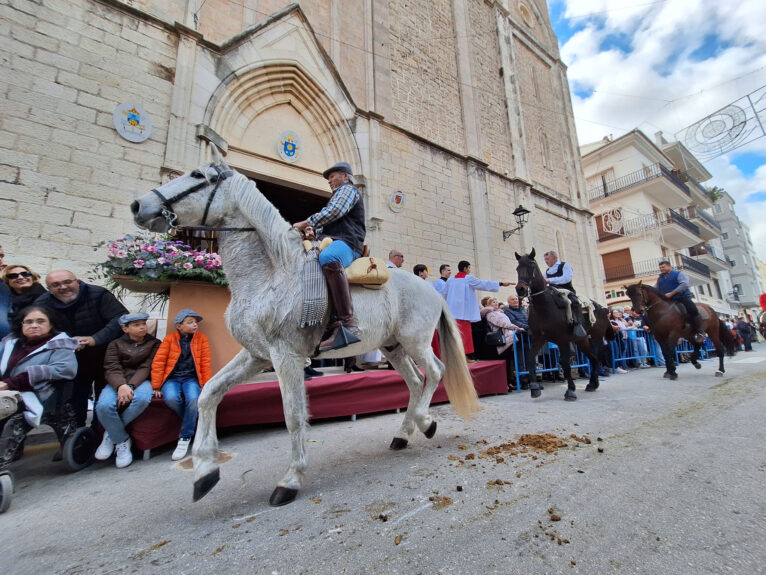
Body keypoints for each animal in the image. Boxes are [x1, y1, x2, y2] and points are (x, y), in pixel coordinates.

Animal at [132, 151, 480, 506]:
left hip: (416, 341)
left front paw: (291, 480)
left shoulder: (285, 356)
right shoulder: (256, 355)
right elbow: (208, 393)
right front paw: (205, 472)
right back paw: (403, 434)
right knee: (414, 382)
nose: (138, 205)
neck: (273, 275)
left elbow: (294, 415)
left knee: (434, 372)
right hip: (393, 347)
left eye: (198, 176)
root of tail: (432, 290)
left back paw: (426, 422)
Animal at [512, 250, 616, 402]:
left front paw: (570, 391)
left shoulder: (563, 340)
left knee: (598, 356)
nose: (520, 289)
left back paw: (593, 382)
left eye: (531, 266)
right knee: (593, 358)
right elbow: (530, 359)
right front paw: (535, 388)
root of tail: (603, 309)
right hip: (582, 340)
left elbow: (565, 363)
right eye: (517, 268)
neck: (544, 306)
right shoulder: (539, 338)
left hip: (596, 337)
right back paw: (592, 384)